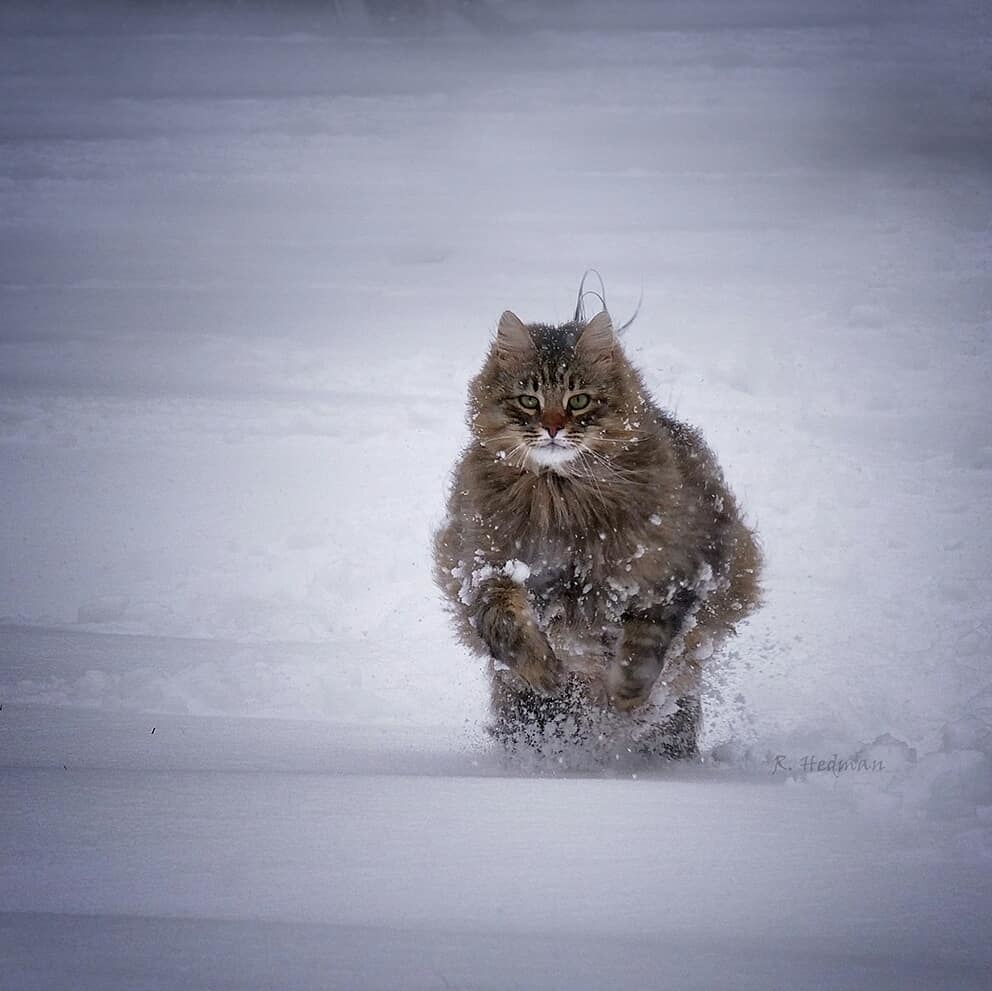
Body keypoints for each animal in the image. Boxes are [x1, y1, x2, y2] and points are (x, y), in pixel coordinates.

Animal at [430, 310, 764, 760]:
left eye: (579, 400)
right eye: (529, 401)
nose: (553, 428)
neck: (560, 495)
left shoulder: (674, 573)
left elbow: (645, 643)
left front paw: (626, 693)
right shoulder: (484, 566)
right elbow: (506, 624)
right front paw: (546, 671)